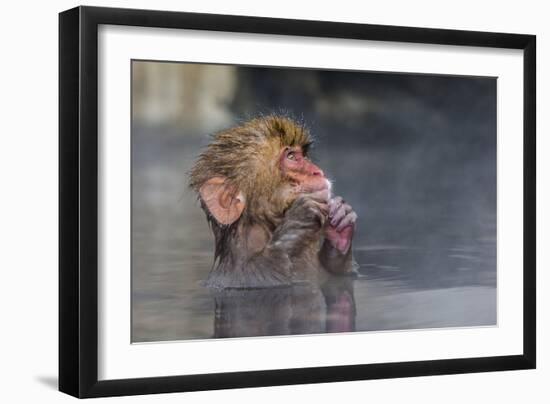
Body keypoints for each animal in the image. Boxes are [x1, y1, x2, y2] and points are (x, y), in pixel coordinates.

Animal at [192, 115, 360, 288]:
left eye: (303, 155)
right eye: (291, 156)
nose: (317, 172)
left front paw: (341, 216)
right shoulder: (238, 280)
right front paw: (299, 219)